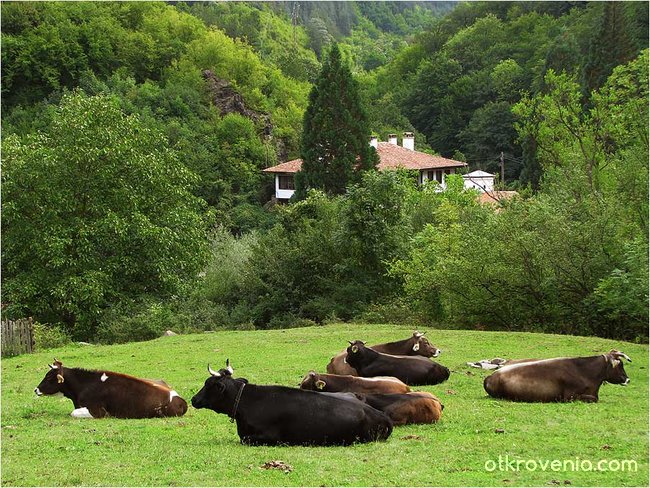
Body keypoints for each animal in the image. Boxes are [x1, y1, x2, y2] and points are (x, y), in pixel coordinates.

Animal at [187, 358, 390, 446]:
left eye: (208, 384)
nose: (193, 399)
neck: (247, 403)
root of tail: (379, 414)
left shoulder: (267, 437)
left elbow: (245, 440)